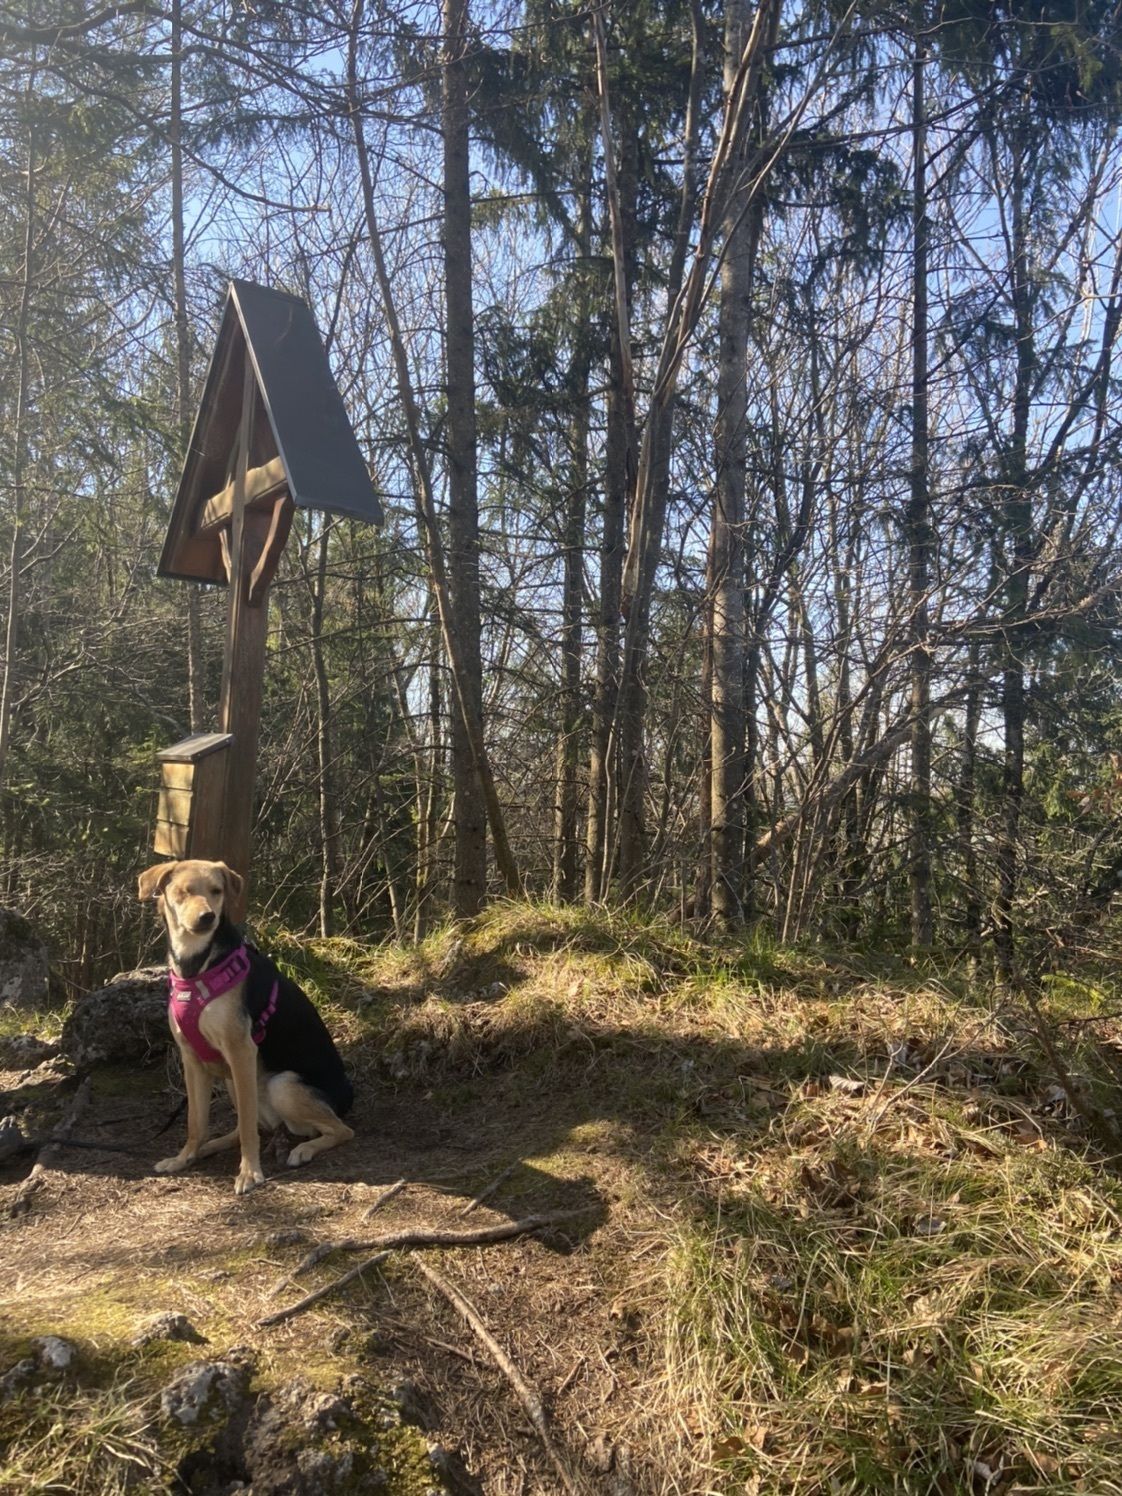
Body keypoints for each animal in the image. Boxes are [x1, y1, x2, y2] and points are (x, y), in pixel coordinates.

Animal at [138, 858, 353, 1195]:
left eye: (217, 891)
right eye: (184, 892)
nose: (207, 917)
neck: (198, 965)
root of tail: (348, 1094)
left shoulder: (241, 1051)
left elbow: (248, 1129)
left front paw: (250, 1172)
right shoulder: (191, 1060)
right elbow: (195, 1122)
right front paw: (185, 1157)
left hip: (282, 1085)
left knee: (341, 1130)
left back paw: (303, 1149)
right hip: (231, 1079)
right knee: (250, 1126)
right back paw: (211, 1146)